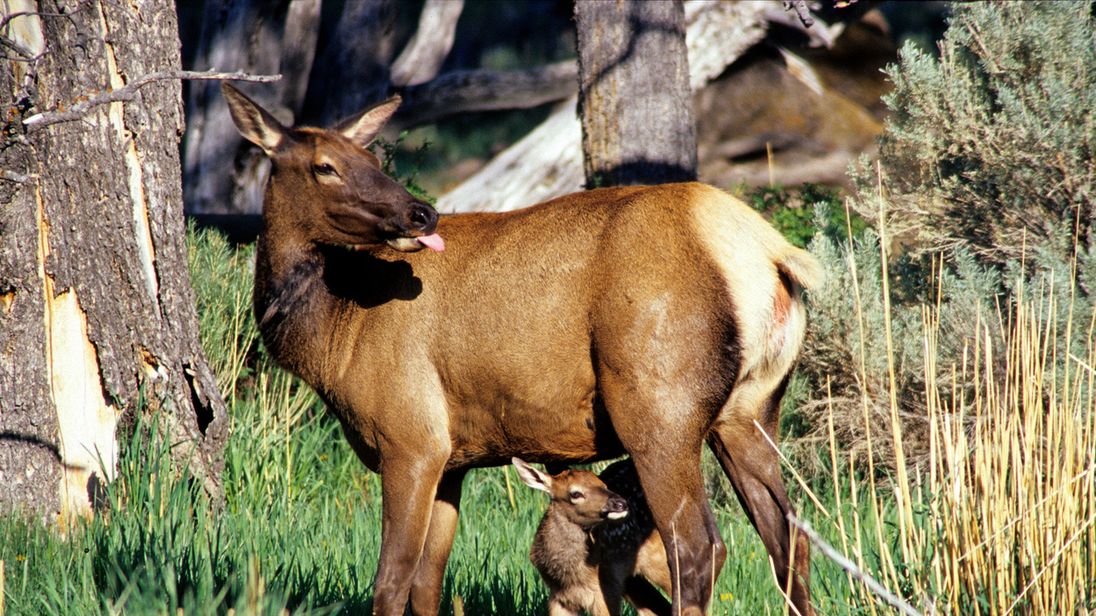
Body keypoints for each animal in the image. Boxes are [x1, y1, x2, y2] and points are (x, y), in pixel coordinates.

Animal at [515, 455, 675, 613]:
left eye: (604, 485)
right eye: (575, 493)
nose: (621, 503)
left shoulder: (604, 589)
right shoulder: (559, 597)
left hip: (658, 559)